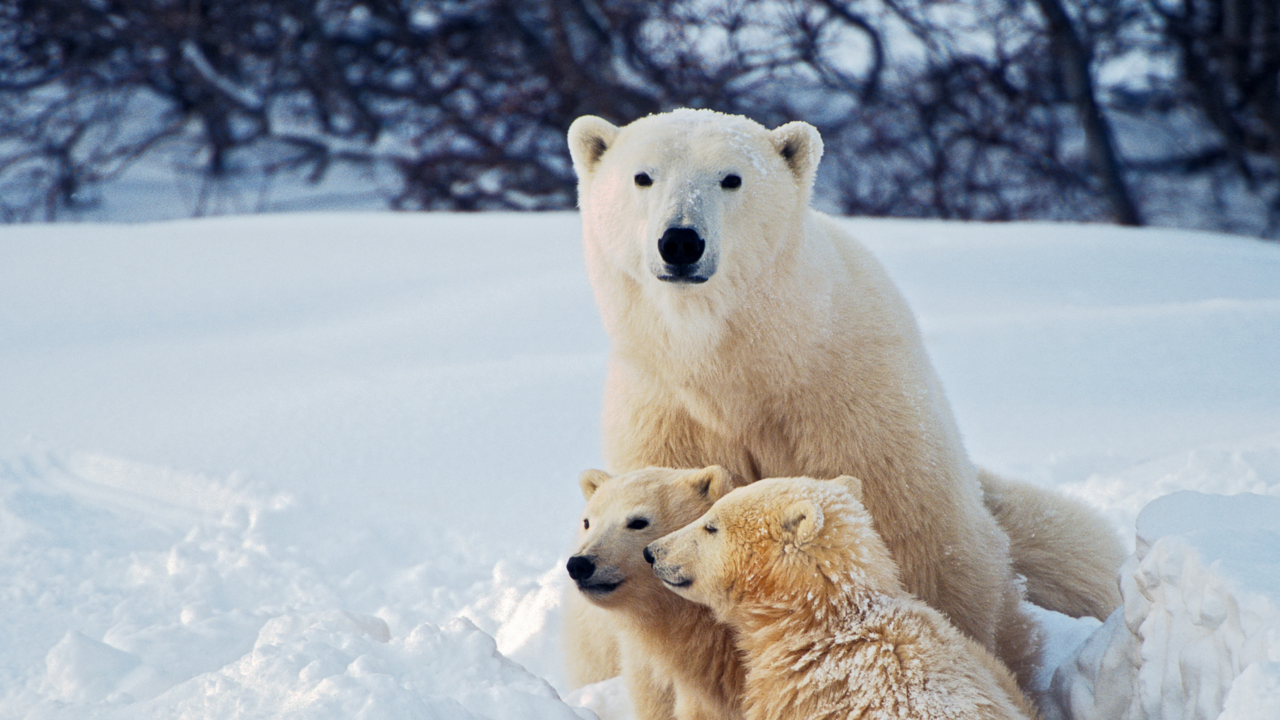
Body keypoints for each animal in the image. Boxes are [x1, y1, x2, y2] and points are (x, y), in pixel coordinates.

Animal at [564, 107, 1124, 690]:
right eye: (643, 177)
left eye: (731, 178)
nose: (679, 241)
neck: (740, 367)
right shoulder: (665, 416)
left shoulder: (849, 400)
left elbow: (920, 543)